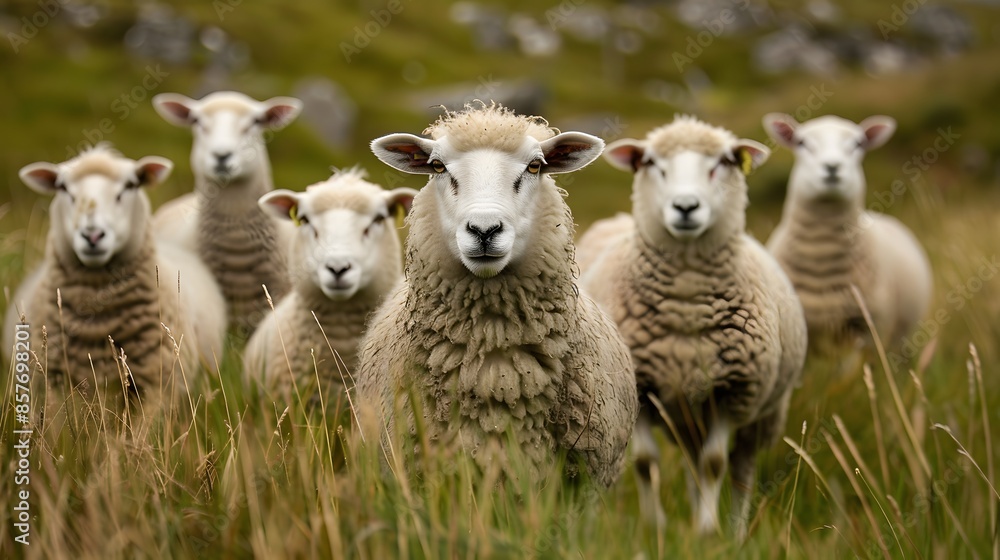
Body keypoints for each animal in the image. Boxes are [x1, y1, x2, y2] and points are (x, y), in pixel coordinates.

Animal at [576, 115, 807, 538]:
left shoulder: (733, 391)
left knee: (740, 467)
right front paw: (656, 529)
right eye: (651, 163)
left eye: (723, 162)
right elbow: (646, 464)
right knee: (691, 462)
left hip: (763, 411)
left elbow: (716, 464)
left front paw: (707, 533)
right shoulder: (642, 389)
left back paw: (735, 531)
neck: (684, 303)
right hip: (684, 413)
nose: (686, 207)